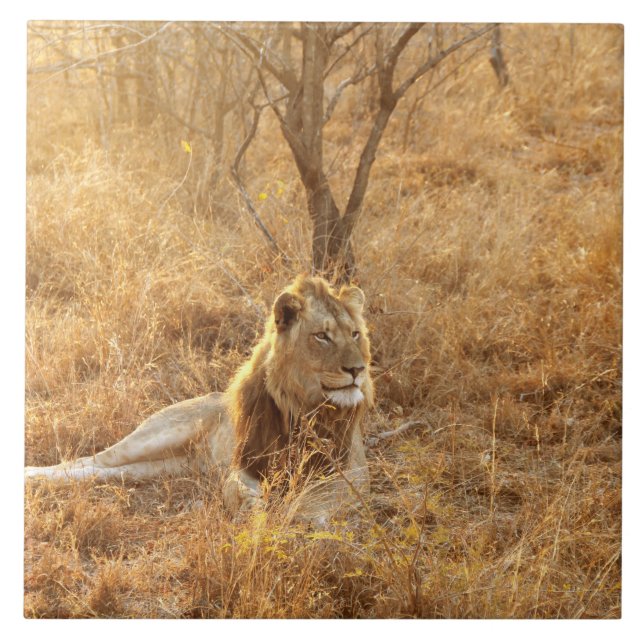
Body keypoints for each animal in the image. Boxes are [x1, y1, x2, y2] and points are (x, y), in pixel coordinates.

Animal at [24, 275, 374, 524]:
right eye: (322, 336)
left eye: (355, 334)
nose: (357, 369)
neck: (304, 407)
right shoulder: (246, 463)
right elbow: (236, 489)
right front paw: (254, 513)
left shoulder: (353, 470)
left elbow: (321, 497)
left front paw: (299, 516)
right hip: (158, 434)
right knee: (90, 460)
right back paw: (33, 475)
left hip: (165, 466)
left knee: (105, 471)